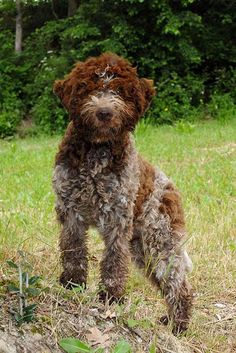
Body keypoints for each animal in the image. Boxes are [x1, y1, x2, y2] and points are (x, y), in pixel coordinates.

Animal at [52, 51, 193, 332]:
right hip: (142, 248)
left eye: (119, 90)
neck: (97, 152)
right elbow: (73, 250)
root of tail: (171, 187)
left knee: (178, 283)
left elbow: (114, 259)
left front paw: (111, 296)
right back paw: (172, 321)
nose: (104, 112)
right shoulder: (71, 211)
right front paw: (73, 284)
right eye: (89, 88)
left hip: (160, 240)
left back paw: (178, 325)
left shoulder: (117, 217)